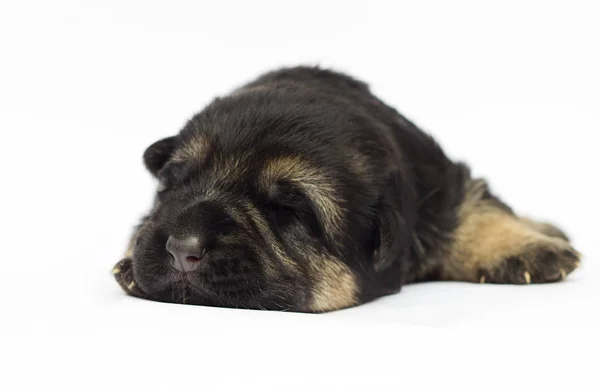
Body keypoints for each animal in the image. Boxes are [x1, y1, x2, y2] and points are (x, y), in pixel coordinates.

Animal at [112, 66, 580, 312]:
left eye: (289, 210)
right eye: (174, 184)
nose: (180, 249)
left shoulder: (445, 185)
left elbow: (478, 208)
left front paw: (526, 248)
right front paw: (131, 262)